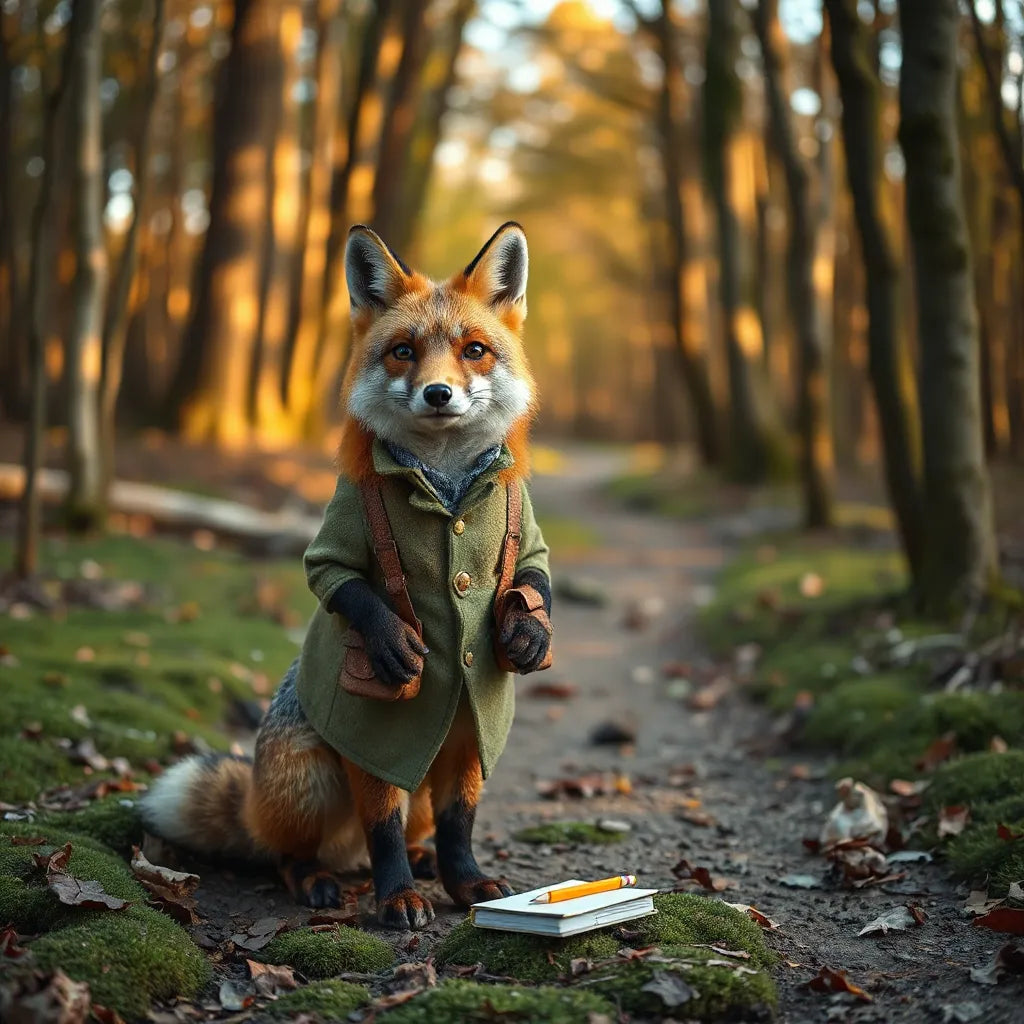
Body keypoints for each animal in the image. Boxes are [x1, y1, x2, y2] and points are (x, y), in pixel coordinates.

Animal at [141, 222, 553, 929]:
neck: (447, 487)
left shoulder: (470, 742)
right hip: (312, 781)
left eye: (473, 351)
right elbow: (338, 579)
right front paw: (397, 901)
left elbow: (461, 825)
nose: (438, 394)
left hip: (429, 777)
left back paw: (422, 863)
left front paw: (465, 882)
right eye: (403, 352)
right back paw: (321, 879)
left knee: (412, 831)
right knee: (300, 852)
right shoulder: (374, 732)